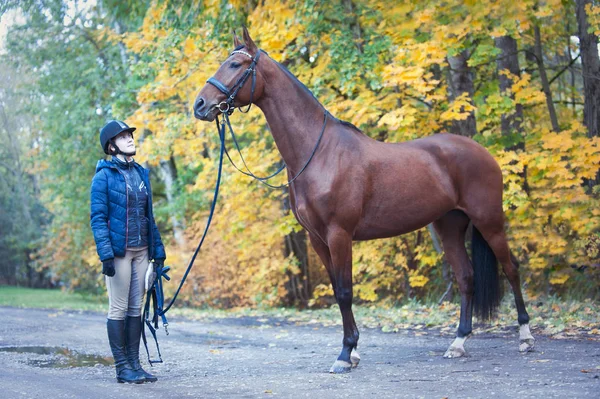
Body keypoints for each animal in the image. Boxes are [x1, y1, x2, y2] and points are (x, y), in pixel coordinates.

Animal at [193, 28, 536, 376]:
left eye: (235, 64)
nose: (200, 105)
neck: (318, 153)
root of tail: (483, 152)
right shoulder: (317, 239)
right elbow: (336, 291)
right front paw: (353, 350)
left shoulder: (339, 234)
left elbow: (346, 292)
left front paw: (346, 354)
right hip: (449, 225)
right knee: (466, 277)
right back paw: (458, 343)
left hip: (489, 220)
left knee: (512, 269)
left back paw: (525, 337)